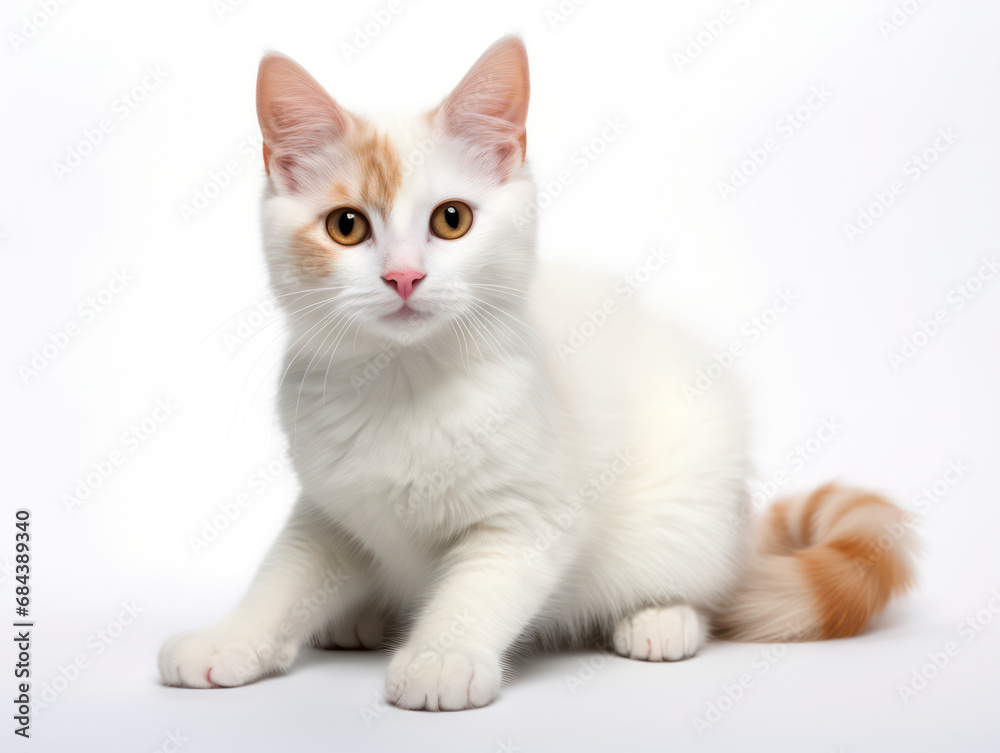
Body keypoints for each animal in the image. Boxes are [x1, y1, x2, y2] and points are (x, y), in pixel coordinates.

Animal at [160, 36, 916, 712]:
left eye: (452, 219)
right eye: (346, 226)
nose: (403, 276)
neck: (404, 384)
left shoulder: (529, 513)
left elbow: (479, 588)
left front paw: (442, 656)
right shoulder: (329, 505)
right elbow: (286, 573)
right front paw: (229, 639)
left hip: (690, 508)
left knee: (704, 585)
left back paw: (662, 619)